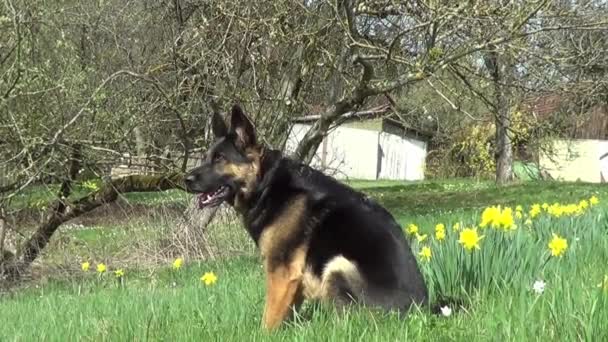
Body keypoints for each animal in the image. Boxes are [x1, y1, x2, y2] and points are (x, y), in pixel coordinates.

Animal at [184, 105, 428, 332]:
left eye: (220, 159)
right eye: (206, 157)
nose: (185, 179)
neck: (266, 184)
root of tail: (419, 312)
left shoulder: (281, 272)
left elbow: (269, 317)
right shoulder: (294, 278)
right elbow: (286, 311)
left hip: (337, 265)